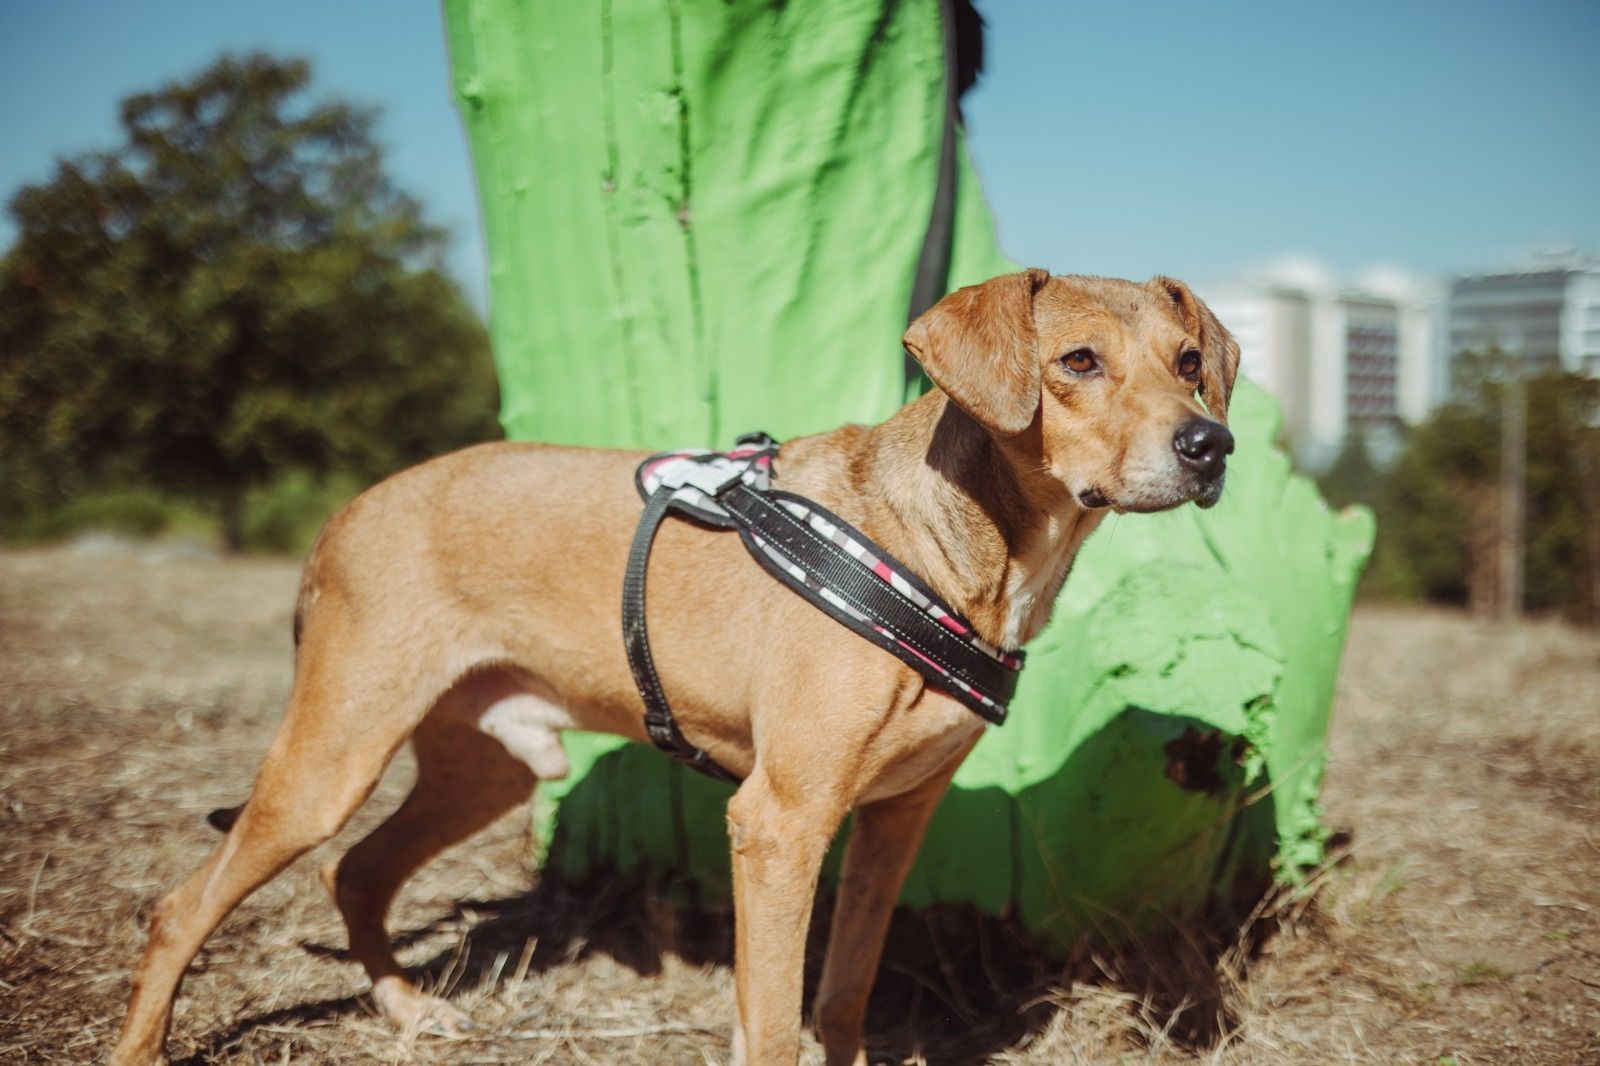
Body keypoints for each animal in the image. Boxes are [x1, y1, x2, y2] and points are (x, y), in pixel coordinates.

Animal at [112, 270, 1235, 1056]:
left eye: (1189, 361)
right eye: (1078, 362)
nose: (1211, 445)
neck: (933, 548)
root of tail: (344, 515)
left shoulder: (888, 825)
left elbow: (839, 996)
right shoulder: (779, 823)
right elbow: (774, 1024)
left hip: (484, 769)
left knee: (357, 872)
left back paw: (411, 1016)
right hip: (331, 758)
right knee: (181, 910)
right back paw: (144, 1045)